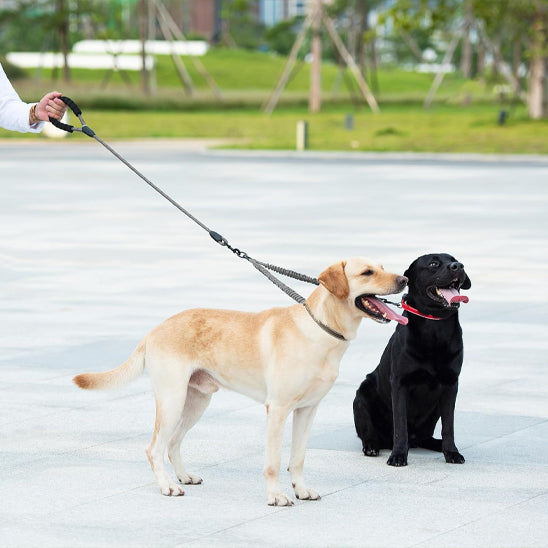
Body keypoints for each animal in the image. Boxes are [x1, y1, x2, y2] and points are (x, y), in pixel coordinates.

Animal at [74, 256, 406, 506]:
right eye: (367, 272)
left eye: (382, 266)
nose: (403, 280)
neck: (321, 329)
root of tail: (155, 329)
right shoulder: (278, 410)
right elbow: (273, 462)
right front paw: (275, 496)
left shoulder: (307, 410)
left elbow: (297, 458)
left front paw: (300, 490)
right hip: (172, 400)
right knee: (154, 447)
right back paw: (167, 486)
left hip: (196, 401)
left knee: (174, 442)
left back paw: (183, 476)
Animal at [356, 254, 470, 466]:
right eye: (433, 263)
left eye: (455, 260)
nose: (458, 266)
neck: (435, 326)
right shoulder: (400, 384)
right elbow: (400, 426)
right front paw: (398, 455)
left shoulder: (451, 384)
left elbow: (448, 426)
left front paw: (451, 452)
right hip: (361, 396)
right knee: (369, 434)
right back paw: (372, 446)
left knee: (426, 436)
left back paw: (437, 444)